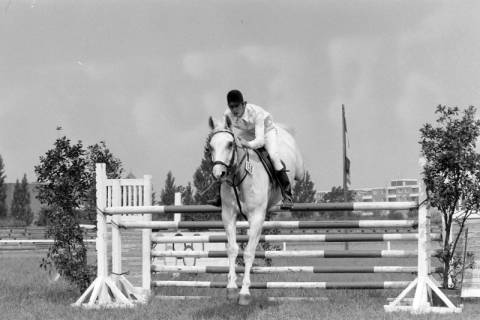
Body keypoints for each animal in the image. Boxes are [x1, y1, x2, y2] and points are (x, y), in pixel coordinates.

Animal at [207, 115, 304, 304]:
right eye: (210, 147)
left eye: (230, 144)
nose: (218, 174)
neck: (239, 178)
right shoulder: (228, 216)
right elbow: (232, 249)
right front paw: (231, 288)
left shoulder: (257, 217)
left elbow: (249, 253)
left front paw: (244, 292)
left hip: (297, 168)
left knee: (295, 173)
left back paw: (288, 196)